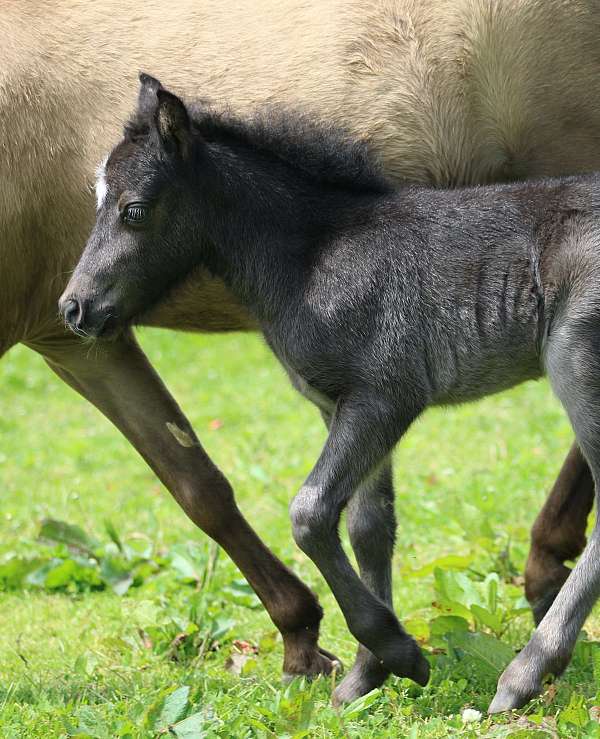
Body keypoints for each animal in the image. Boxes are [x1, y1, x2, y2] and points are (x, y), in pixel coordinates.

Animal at [3, 0, 600, 702]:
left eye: (135, 210)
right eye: (94, 200)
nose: (74, 308)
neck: (318, 253)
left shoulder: (385, 396)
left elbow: (311, 512)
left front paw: (393, 650)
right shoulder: (337, 405)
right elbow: (370, 525)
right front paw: (370, 673)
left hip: (576, 366)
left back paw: (525, 673)